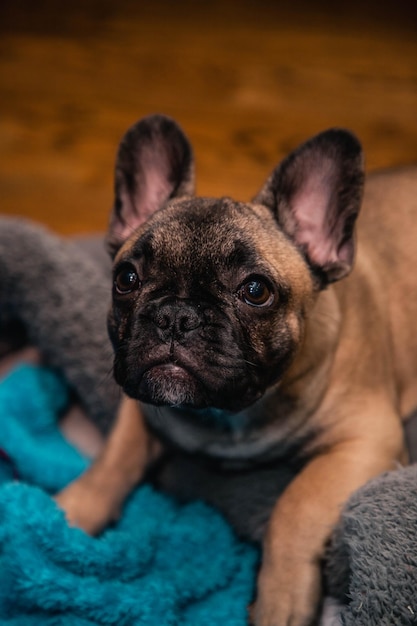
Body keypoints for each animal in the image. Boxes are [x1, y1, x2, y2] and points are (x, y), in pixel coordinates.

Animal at [57, 113, 416, 624]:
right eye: (126, 279)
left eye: (255, 290)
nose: (176, 315)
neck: (226, 418)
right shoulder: (142, 402)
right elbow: (113, 460)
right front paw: (71, 511)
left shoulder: (366, 438)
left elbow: (294, 507)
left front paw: (280, 602)